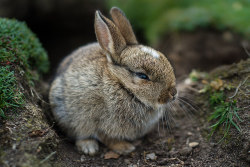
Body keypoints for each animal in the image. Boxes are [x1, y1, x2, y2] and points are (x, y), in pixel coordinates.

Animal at [49, 6, 178, 155]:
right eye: (143, 76)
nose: (173, 93)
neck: (123, 85)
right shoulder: (96, 120)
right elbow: (106, 137)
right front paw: (125, 148)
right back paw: (88, 146)